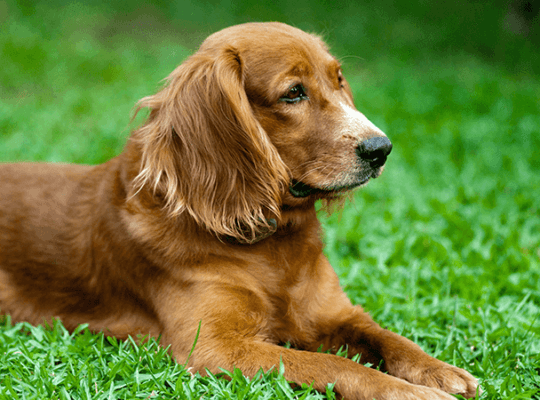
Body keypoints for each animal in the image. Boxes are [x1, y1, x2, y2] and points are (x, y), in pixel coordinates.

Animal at [1, 22, 480, 400]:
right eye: (293, 93)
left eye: (339, 80)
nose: (381, 148)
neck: (272, 242)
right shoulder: (217, 348)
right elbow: (332, 365)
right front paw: (409, 392)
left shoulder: (336, 314)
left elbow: (388, 337)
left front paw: (439, 371)